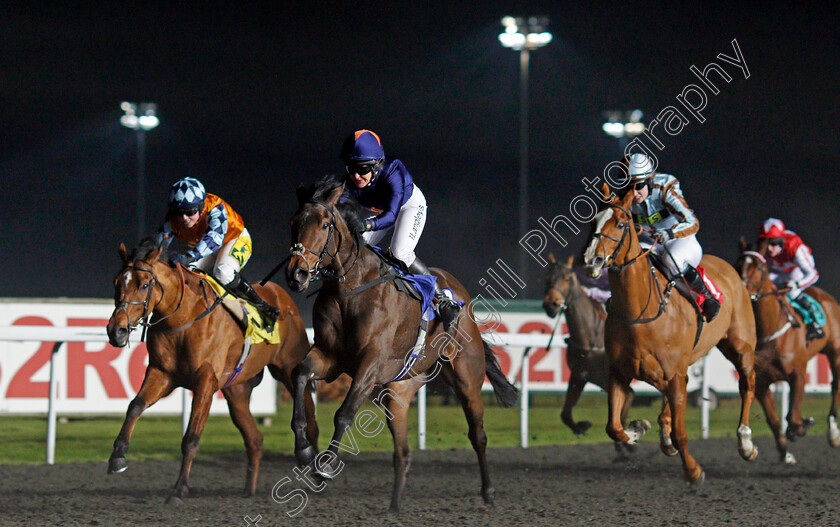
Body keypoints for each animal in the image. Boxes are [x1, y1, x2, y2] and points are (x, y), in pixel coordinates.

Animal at [105, 238, 316, 504]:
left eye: (144, 285)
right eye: (116, 282)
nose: (117, 331)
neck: (182, 320)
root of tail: (283, 297)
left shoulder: (205, 380)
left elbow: (191, 437)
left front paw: (179, 489)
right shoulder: (161, 373)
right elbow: (134, 406)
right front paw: (117, 457)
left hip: (288, 368)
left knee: (309, 414)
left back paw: (313, 463)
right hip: (237, 391)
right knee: (255, 439)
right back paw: (249, 490)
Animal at [286, 176, 516, 512]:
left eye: (325, 224)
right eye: (294, 222)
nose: (297, 273)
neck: (351, 288)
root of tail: (464, 301)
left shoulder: (370, 364)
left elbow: (344, 412)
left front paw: (325, 465)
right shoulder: (329, 357)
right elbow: (300, 373)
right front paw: (303, 448)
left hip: (467, 379)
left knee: (478, 435)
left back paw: (488, 491)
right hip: (399, 390)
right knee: (403, 451)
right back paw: (395, 505)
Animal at [584, 186, 760, 486]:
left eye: (620, 223)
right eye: (593, 222)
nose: (591, 259)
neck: (640, 312)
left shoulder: (673, 374)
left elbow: (681, 433)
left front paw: (694, 471)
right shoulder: (620, 372)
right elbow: (614, 427)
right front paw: (638, 428)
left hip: (740, 346)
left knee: (747, 384)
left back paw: (745, 442)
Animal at [732, 238, 840, 462]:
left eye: (760, 267)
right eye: (738, 265)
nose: (743, 292)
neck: (769, 332)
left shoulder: (797, 373)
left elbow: (792, 416)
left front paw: (803, 425)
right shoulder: (761, 383)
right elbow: (774, 420)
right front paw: (785, 453)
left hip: (835, 352)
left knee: (836, 386)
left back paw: (833, 432)